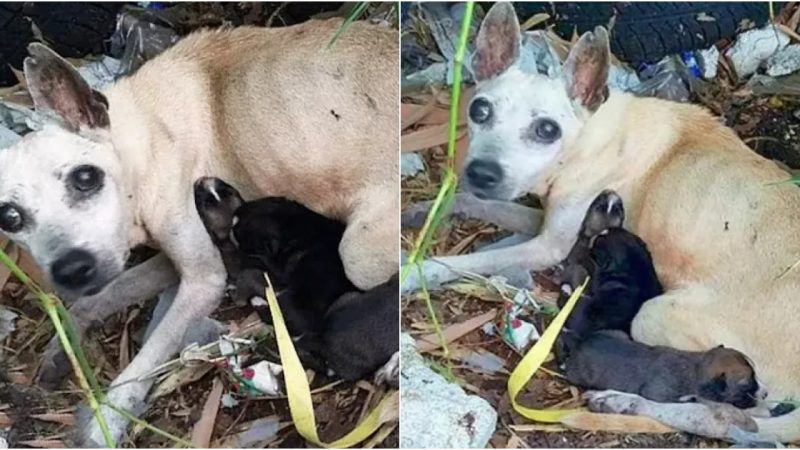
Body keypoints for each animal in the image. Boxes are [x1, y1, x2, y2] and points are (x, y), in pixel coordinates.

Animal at [0, 18, 398, 446]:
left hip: (359, 255)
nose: (71, 270)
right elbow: (100, 298)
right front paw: (62, 347)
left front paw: (104, 423)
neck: (140, 134)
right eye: (8, 217)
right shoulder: (173, 260)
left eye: (86, 177)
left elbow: (145, 359)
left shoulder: (202, 279)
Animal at [406, 0, 800, 442]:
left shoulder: (550, 245)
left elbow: (459, 262)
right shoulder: (546, 218)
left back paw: (624, 401)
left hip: (655, 318)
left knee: (728, 414)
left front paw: (412, 273)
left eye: (547, 129)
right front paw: (422, 211)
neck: (589, 131)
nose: (481, 173)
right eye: (479, 109)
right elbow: (473, 202)